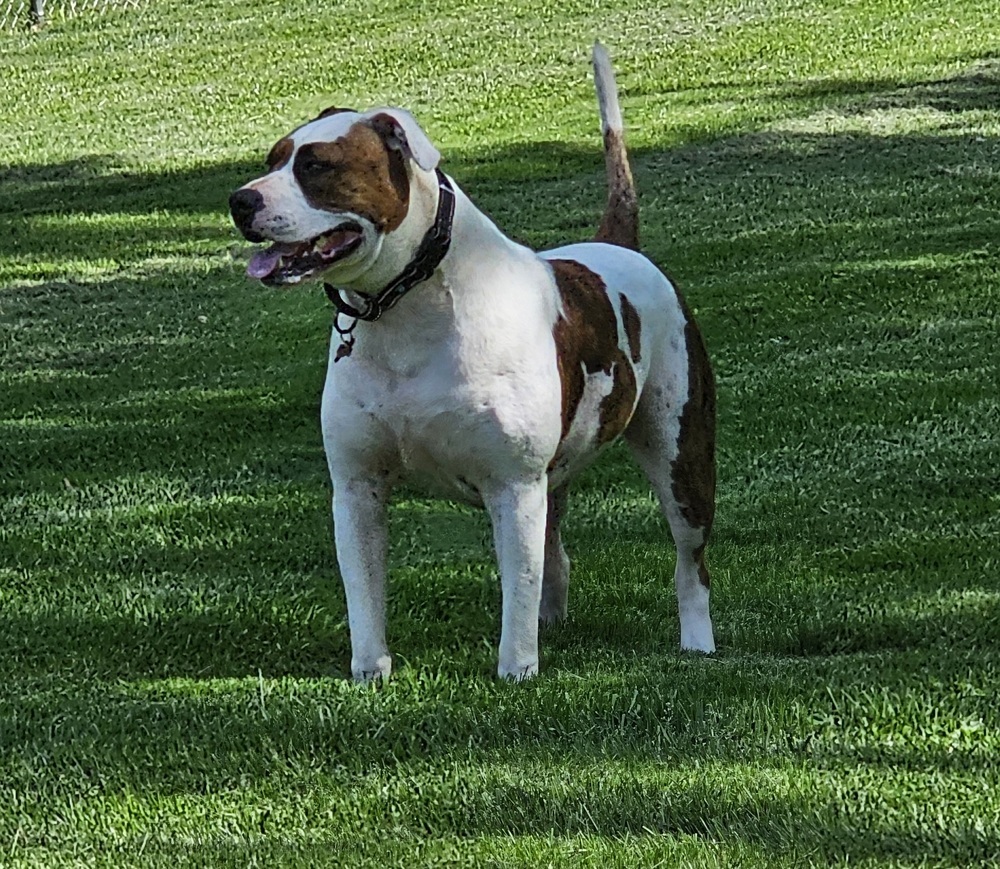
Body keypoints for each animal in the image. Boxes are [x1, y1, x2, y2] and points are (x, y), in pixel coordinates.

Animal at [230, 44, 716, 680]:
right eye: (272, 159)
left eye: (317, 166)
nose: (240, 200)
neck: (405, 311)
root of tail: (619, 246)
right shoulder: (357, 488)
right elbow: (365, 592)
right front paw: (369, 672)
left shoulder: (512, 485)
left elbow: (518, 584)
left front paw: (516, 671)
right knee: (554, 550)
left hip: (680, 450)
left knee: (690, 558)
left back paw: (698, 642)